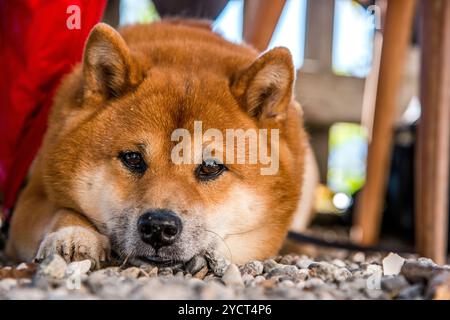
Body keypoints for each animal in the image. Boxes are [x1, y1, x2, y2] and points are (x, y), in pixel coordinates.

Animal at [5, 20, 318, 268]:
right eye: (132, 158)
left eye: (210, 167)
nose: (158, 227)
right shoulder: (31, 198)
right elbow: (61, 211)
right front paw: (74, 233)